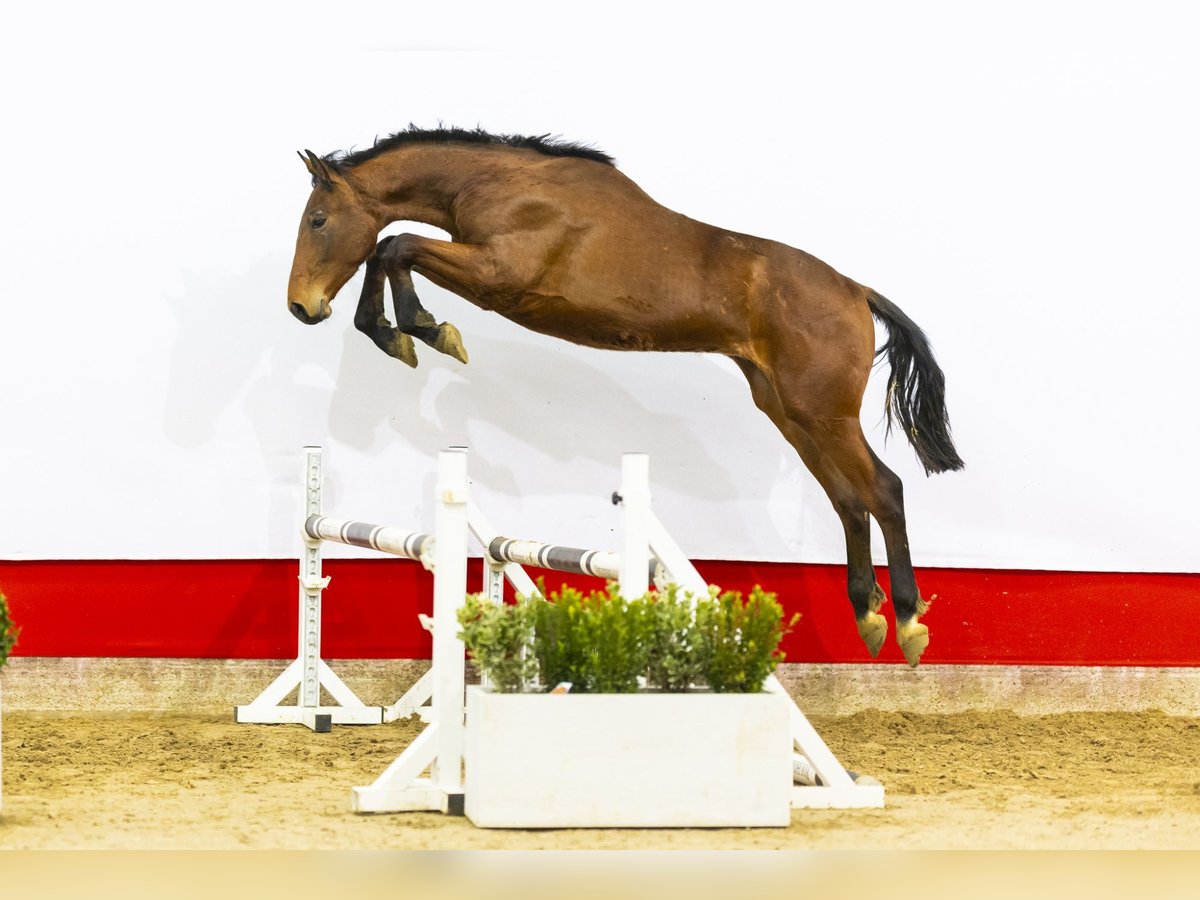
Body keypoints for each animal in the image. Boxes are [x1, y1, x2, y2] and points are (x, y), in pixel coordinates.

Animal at [285, 123, 960, 667]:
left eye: (317, 221)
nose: (301, 307)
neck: (501, 184)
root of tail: (854, 290)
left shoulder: (500, 276)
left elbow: (393, 245)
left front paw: (421, 330)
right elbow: (388, 249)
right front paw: (403, 332)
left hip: (825, 413)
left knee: (884, 490)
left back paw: (906, 624)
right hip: (790, 412)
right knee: (848, 500)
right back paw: (868, 618)